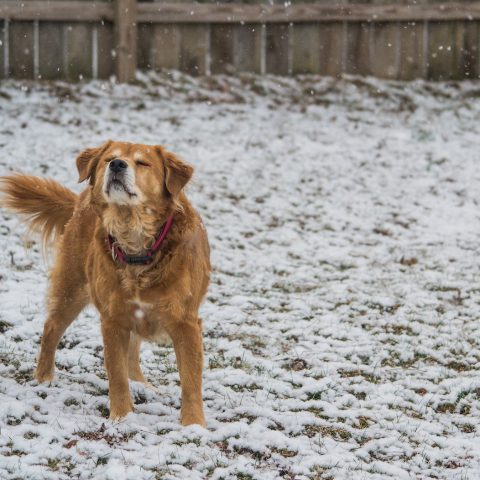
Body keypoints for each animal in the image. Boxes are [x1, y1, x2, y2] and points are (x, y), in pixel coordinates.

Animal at [0, 141, 210, 426]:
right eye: (110, 158)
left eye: (143, 163)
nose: (118, 164)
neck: (136, 242)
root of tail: (79, 202)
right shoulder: (113, 320)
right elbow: (117, 375)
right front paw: (122, 417)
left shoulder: (185, 323)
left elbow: (190, 381)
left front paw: (193, 425)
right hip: (72, 289)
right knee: (52, 328)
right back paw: (44, 378)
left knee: (133, 350)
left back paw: (141, 384)